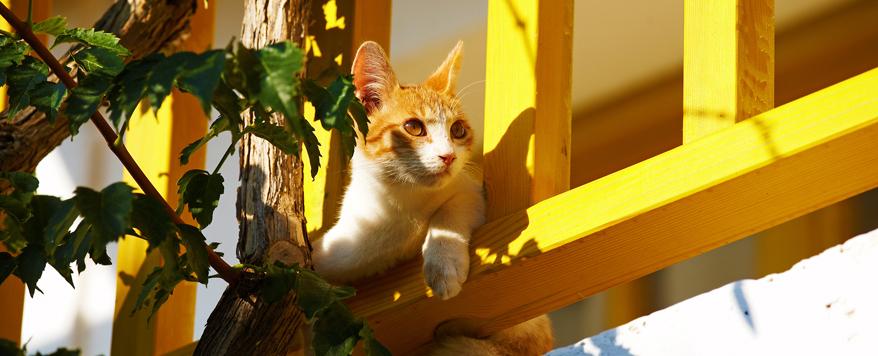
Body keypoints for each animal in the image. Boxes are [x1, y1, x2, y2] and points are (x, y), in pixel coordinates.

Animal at [312, 39, 552, 356]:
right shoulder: (337, 253)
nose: (448, 156)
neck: (402, 205)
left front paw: (443, 264)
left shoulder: (471, 192)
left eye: (457, 130)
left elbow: (450, 212)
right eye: (414, 127)